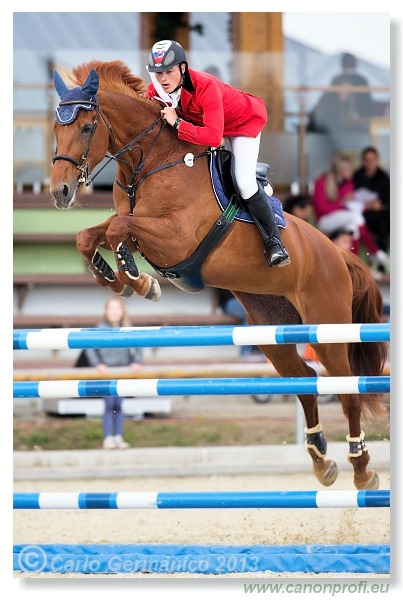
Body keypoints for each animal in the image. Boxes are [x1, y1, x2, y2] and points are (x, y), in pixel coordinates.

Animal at [49, 59, 388, 492]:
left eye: (87, 127)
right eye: (56, 127)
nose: (60, 192)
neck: (150, 160)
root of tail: (339, 254)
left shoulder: (175, 237)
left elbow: (118, 229)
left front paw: (136, 278)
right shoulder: (141, 226)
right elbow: (92, 234)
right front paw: (121, 278)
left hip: (329, 327)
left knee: (346, 391)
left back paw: (362, 468)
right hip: (272, 330)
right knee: (306, 383)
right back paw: (321, 462)